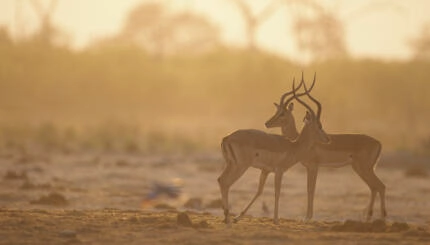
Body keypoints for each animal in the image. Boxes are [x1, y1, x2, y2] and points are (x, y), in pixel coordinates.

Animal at [218, 77, 330, 224]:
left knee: (221, 180)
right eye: (319, 126)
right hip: (240, 166)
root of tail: (227, 137)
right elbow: (277, 192)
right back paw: (227, 219)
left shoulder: (265, 170)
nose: (327, 139)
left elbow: (259, 191)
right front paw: (276, 220)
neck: (293, 146)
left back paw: (228, 218)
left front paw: (238, 217)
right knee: (225, 182)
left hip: (231, 164)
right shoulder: (279, 170)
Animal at [266, 73, 386, 222]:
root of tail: (378, 142)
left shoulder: (314, 166)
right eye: (277, 112)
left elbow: (311, 189)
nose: (267, 123)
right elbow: (309, 189)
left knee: (380, 186)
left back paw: (382, 217)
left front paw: (308, 217)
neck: (300, 140)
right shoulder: (309, 167)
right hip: (360, 168)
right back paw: (369, 217)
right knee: (374, 187)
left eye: (282, 113)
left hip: (365, 168)